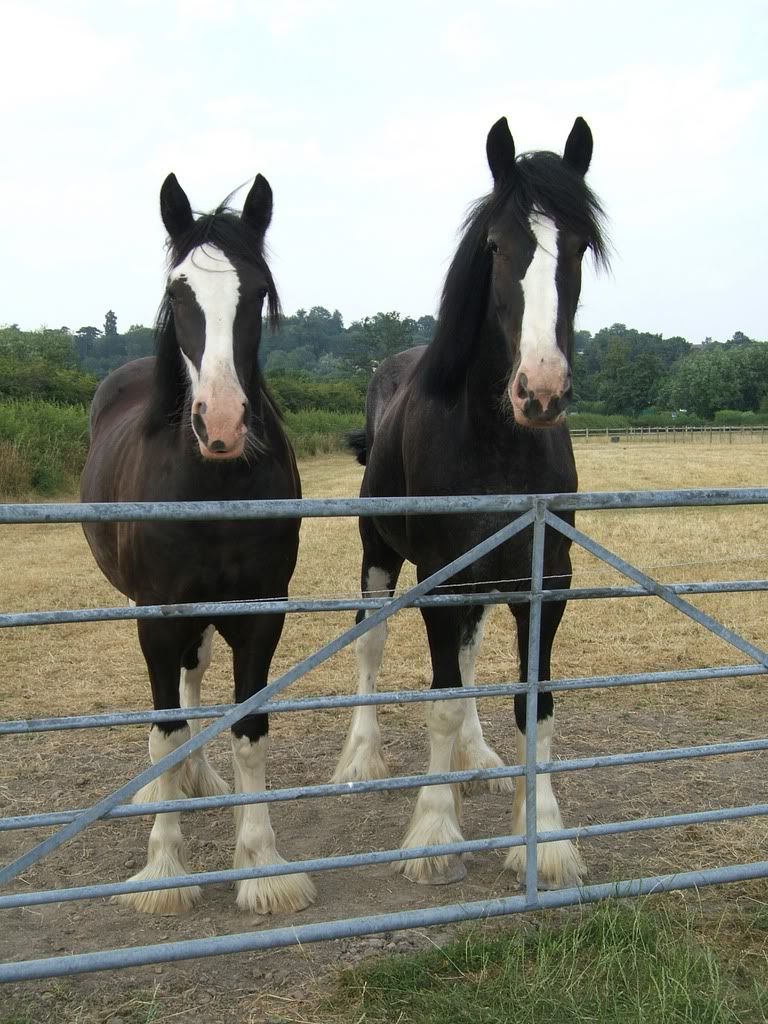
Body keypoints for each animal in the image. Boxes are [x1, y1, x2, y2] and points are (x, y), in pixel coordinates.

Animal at [81, 172, 315, 917]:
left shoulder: (260, 616)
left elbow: (248, 730)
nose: (222, 424)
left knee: (194, 678)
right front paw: (164, 871)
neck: (210, 484)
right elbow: (163, 731)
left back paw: (199, 778)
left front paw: (263, 868)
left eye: (258, 290)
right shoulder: (157, 617)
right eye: (177, 291)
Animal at [333, 117, 610, 888]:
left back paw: (478, 760)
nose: (540, 390)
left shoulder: (546, 580)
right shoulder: (440, 582)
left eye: (579, 245)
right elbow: (440, 700)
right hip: (381, 558)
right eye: (495, 245)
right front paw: (433, 835)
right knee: (371, 643)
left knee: (470, 657)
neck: (497, 442)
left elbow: (533, 702)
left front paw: (545, 837)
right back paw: (361, 761)